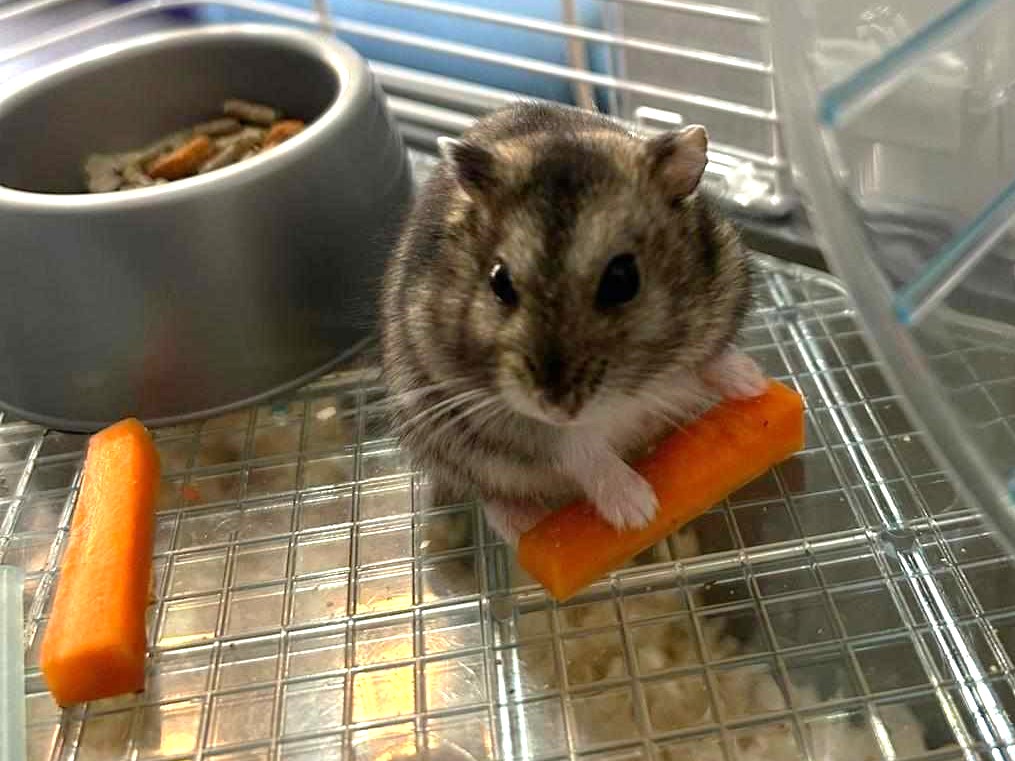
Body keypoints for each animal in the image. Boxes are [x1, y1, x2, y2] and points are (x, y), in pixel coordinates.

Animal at [381, 102, 766, 545]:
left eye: (622, 279)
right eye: (499, 281)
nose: (557, 407)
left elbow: (710, 360)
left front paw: (753, 383)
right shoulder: (494, 414)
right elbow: (579, 451)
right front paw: (640, 512)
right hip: (447, 444)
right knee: (491, 494)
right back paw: (525, 525)